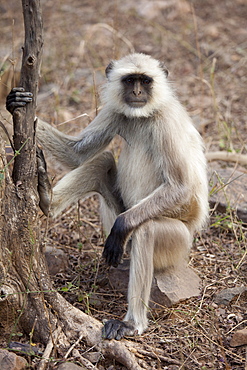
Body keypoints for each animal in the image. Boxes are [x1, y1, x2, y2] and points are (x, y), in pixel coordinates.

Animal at [6, 52, 208, 342]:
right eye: (130, 81)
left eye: (145, 81)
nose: (137, 92)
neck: (144, 115)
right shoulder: (116, 111)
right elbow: (77, 155)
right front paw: (13, 102)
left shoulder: (166, 121)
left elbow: (180, 187)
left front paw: (122, 227)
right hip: (119, 211)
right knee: (101, 161)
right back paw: (46, 198)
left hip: (178, 244)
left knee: (146, 229)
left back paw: (133, 323)